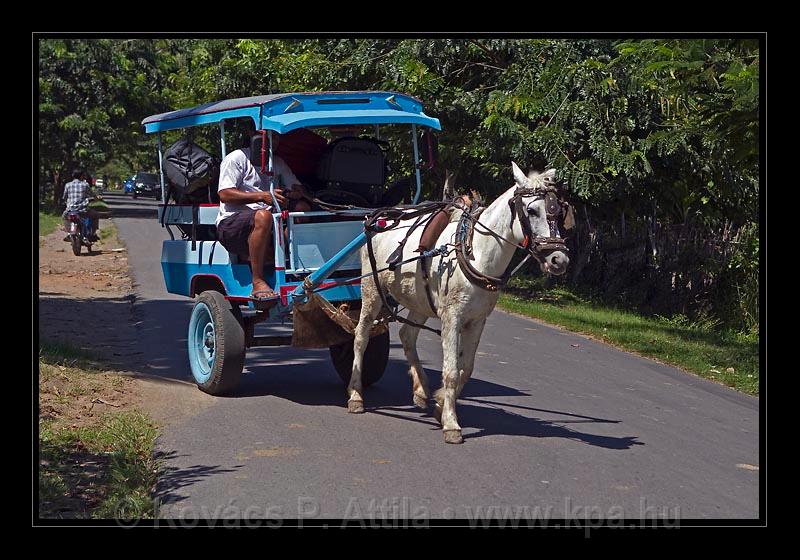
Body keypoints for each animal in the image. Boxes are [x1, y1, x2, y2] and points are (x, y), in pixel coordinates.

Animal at [348, 164, 568, 444]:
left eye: (559, 211)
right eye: (531, 211)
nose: (559, 259)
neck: (475, 252)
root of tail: (380, 218)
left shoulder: (477, 320)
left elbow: (466, 368)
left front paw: (441, 403)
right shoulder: (451, 319)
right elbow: (451, 371)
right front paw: (451, 423)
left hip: (419, 299)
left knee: (407, 335)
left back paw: (421, 389)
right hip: (372, 290)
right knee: (361, 337)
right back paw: (355, 394)